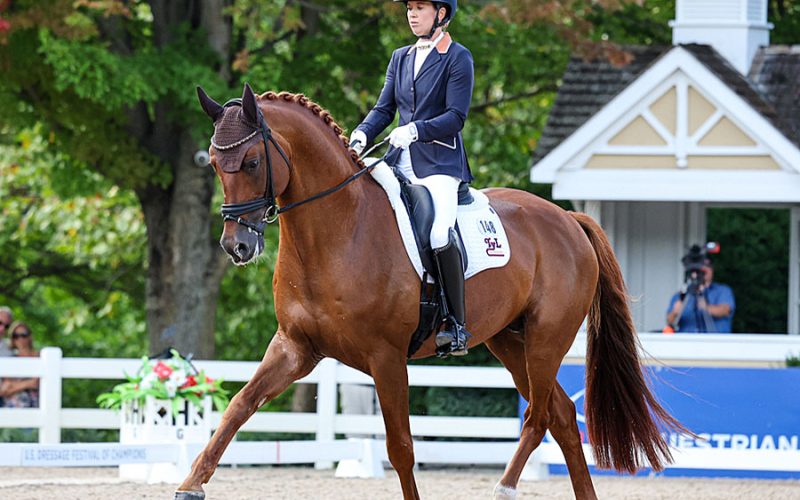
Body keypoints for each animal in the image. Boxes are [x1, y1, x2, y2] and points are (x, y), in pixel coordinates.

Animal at [176, 83, 683, 500]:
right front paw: (190, 485)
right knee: (559, 415)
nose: (237, 246)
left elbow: (400, 446)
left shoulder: (385, 357)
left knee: (539, 416)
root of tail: (568, 219)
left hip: (546, 340)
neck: (339, 230)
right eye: (215, 164)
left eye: (252, 162)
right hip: (509, 340)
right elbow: (239, 406)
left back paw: (504, 487)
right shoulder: (295, 347)